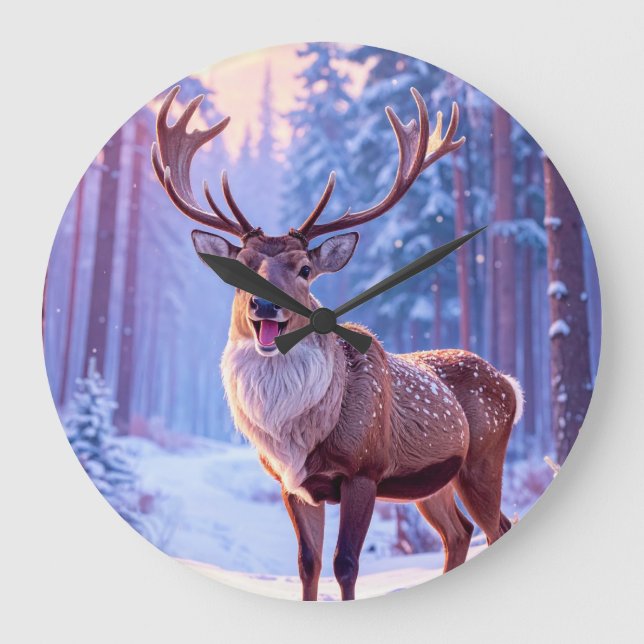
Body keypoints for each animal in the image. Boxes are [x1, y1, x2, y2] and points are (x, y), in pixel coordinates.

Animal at [152, 85, 524, 600]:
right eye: (241, 266)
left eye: (305, 269)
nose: (264, 307)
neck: (299, 436)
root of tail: (511, 384)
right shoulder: (291, 483)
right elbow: (307, 563)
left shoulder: (364, 468)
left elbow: (345, 563)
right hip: (433, 482)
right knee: (459, 533)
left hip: (484, 458)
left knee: (497, 527)